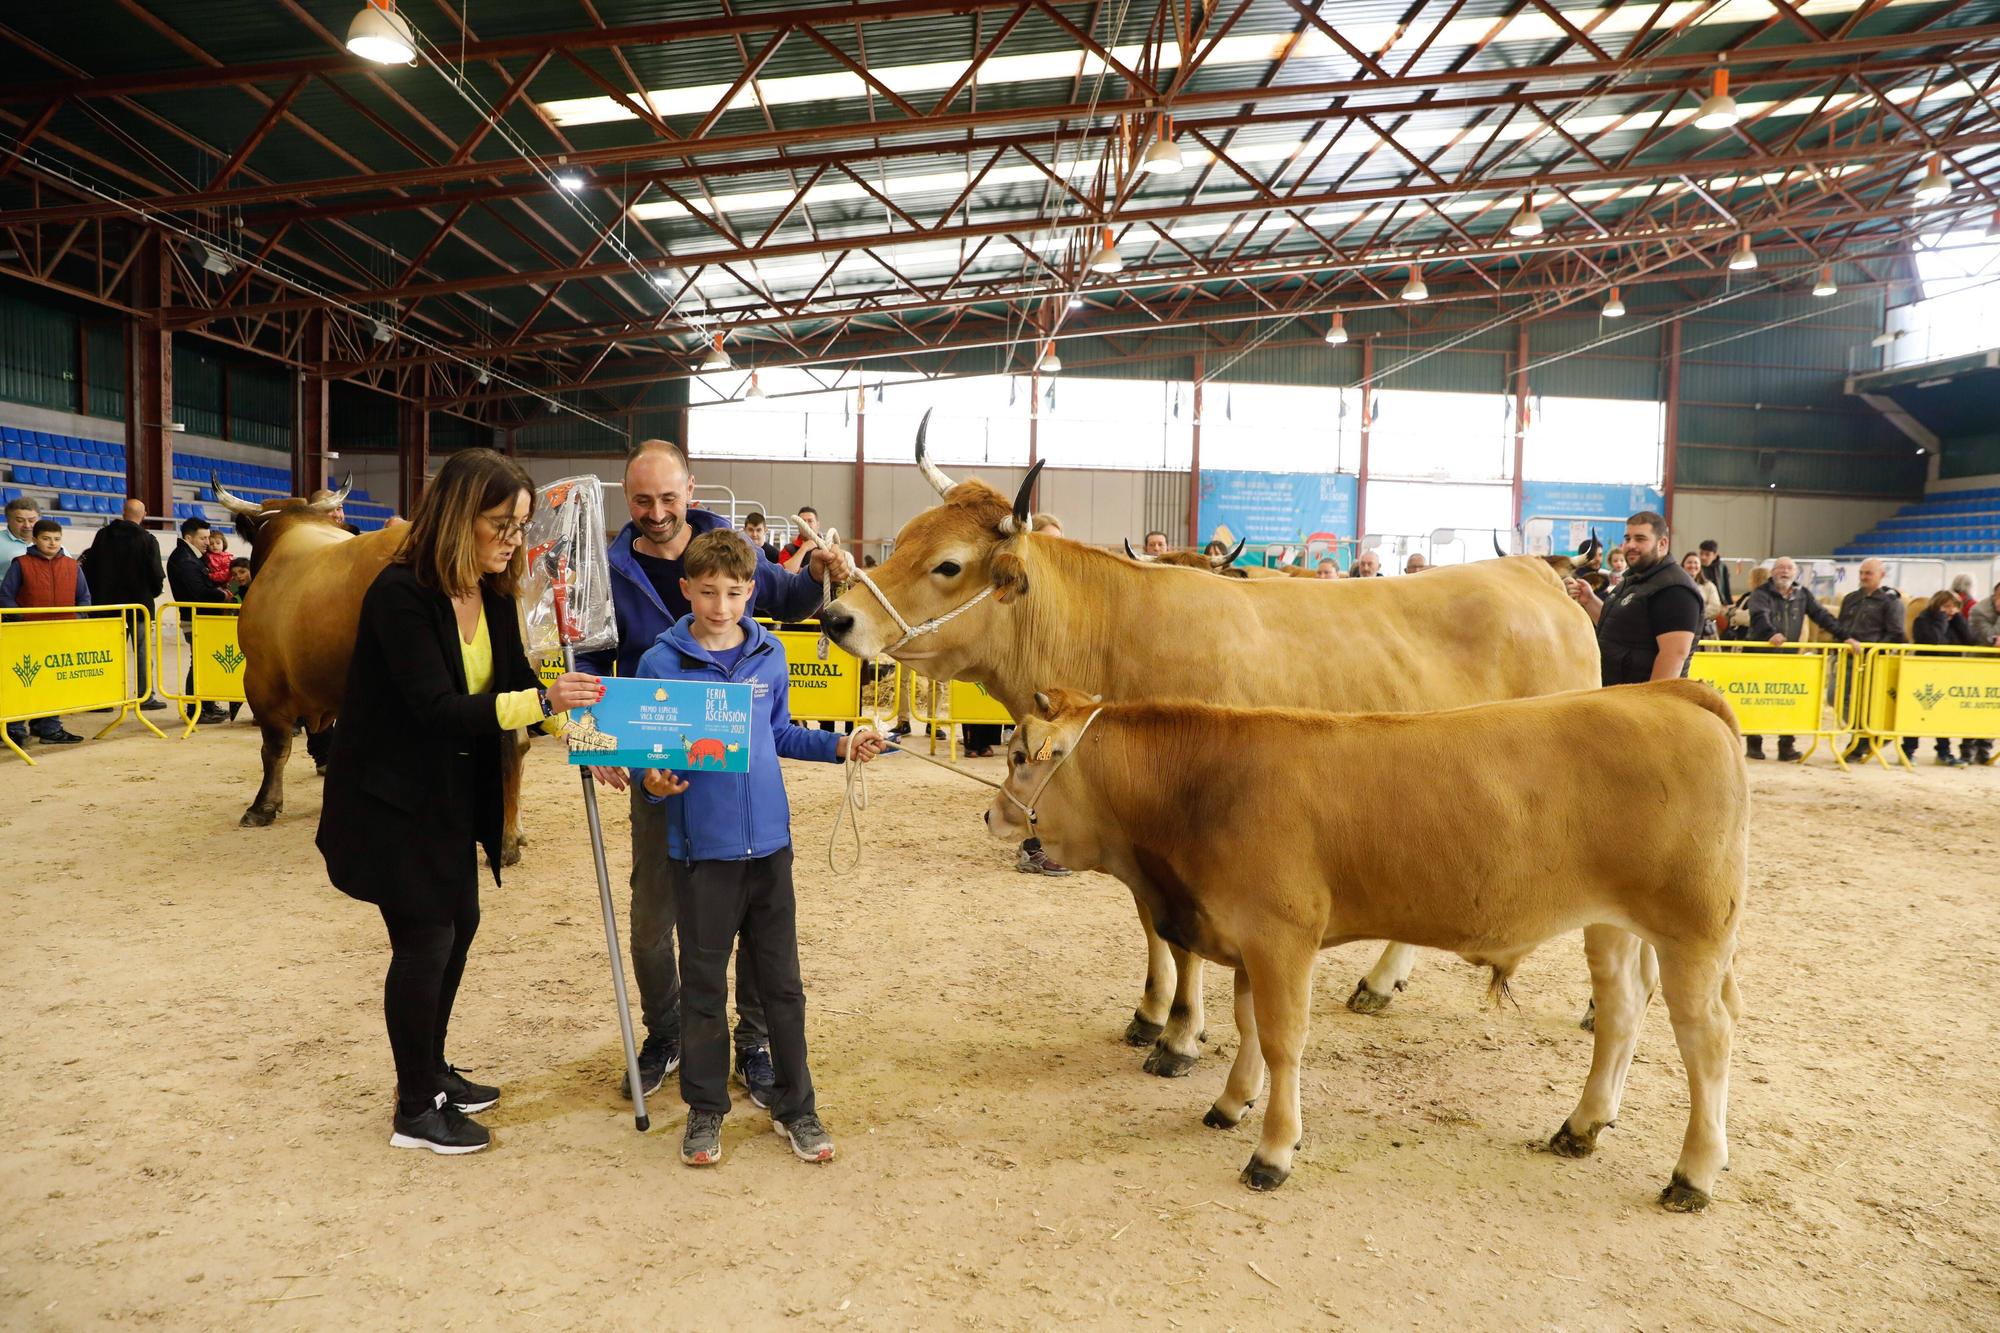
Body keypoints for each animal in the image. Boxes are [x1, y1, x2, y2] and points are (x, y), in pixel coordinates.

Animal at [992, 680, 1744, 1208]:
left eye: (1022, 755)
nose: (993, 814)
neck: (1202, 788)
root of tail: (1666, 691)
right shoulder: (1246, 937)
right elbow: (1247, 1023)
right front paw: (1231, 1103)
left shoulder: (1282, 935)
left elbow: (1282, 1039)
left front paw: (1273, 1150)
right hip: (1613, 924)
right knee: (1621, 1012)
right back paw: (1582, 1125)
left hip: (1693, 930)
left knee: (1707, 1039)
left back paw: (1693, 1174)